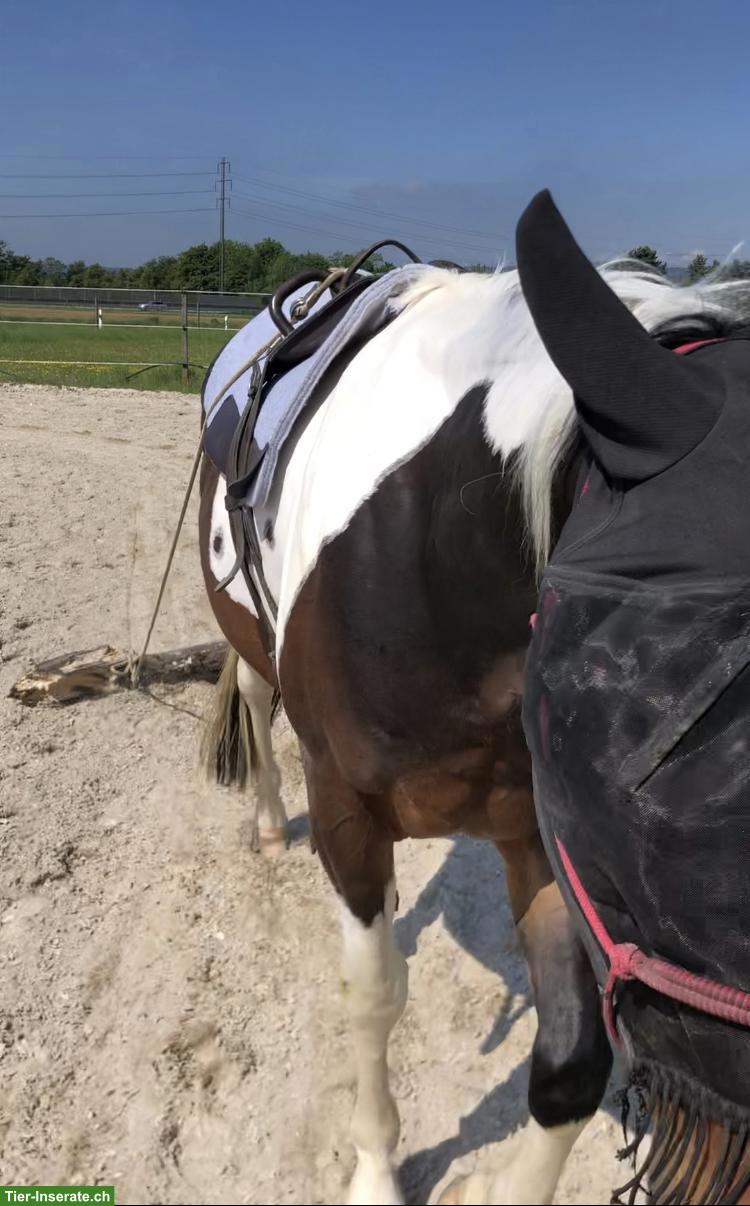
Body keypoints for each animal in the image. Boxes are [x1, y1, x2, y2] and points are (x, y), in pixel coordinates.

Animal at [198, 192, 750, 1205]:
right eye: (644, 720)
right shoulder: (346, 806)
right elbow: (374, 996)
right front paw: (376, 1171)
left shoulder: (550, 846)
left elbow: (570, 1065)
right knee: (253, 699)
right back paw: (263, 823)